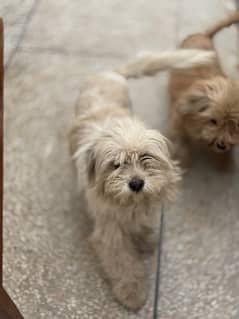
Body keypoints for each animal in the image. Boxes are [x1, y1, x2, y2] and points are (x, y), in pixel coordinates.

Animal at [70, 48, 216, 312]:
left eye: (146, 157)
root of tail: (111, 72)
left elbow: (143, 224)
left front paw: (146, 238)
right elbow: (123, 262)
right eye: (116, 164)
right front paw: (132, 291)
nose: (136, 184)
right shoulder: (110, 231)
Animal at [168, 11, 239, 169]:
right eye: (213, 121)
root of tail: (205, 35)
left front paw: (225, 160)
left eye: (234, 125)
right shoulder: (178, 118)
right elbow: (180, 139)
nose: (221, 146)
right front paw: (183, 158)